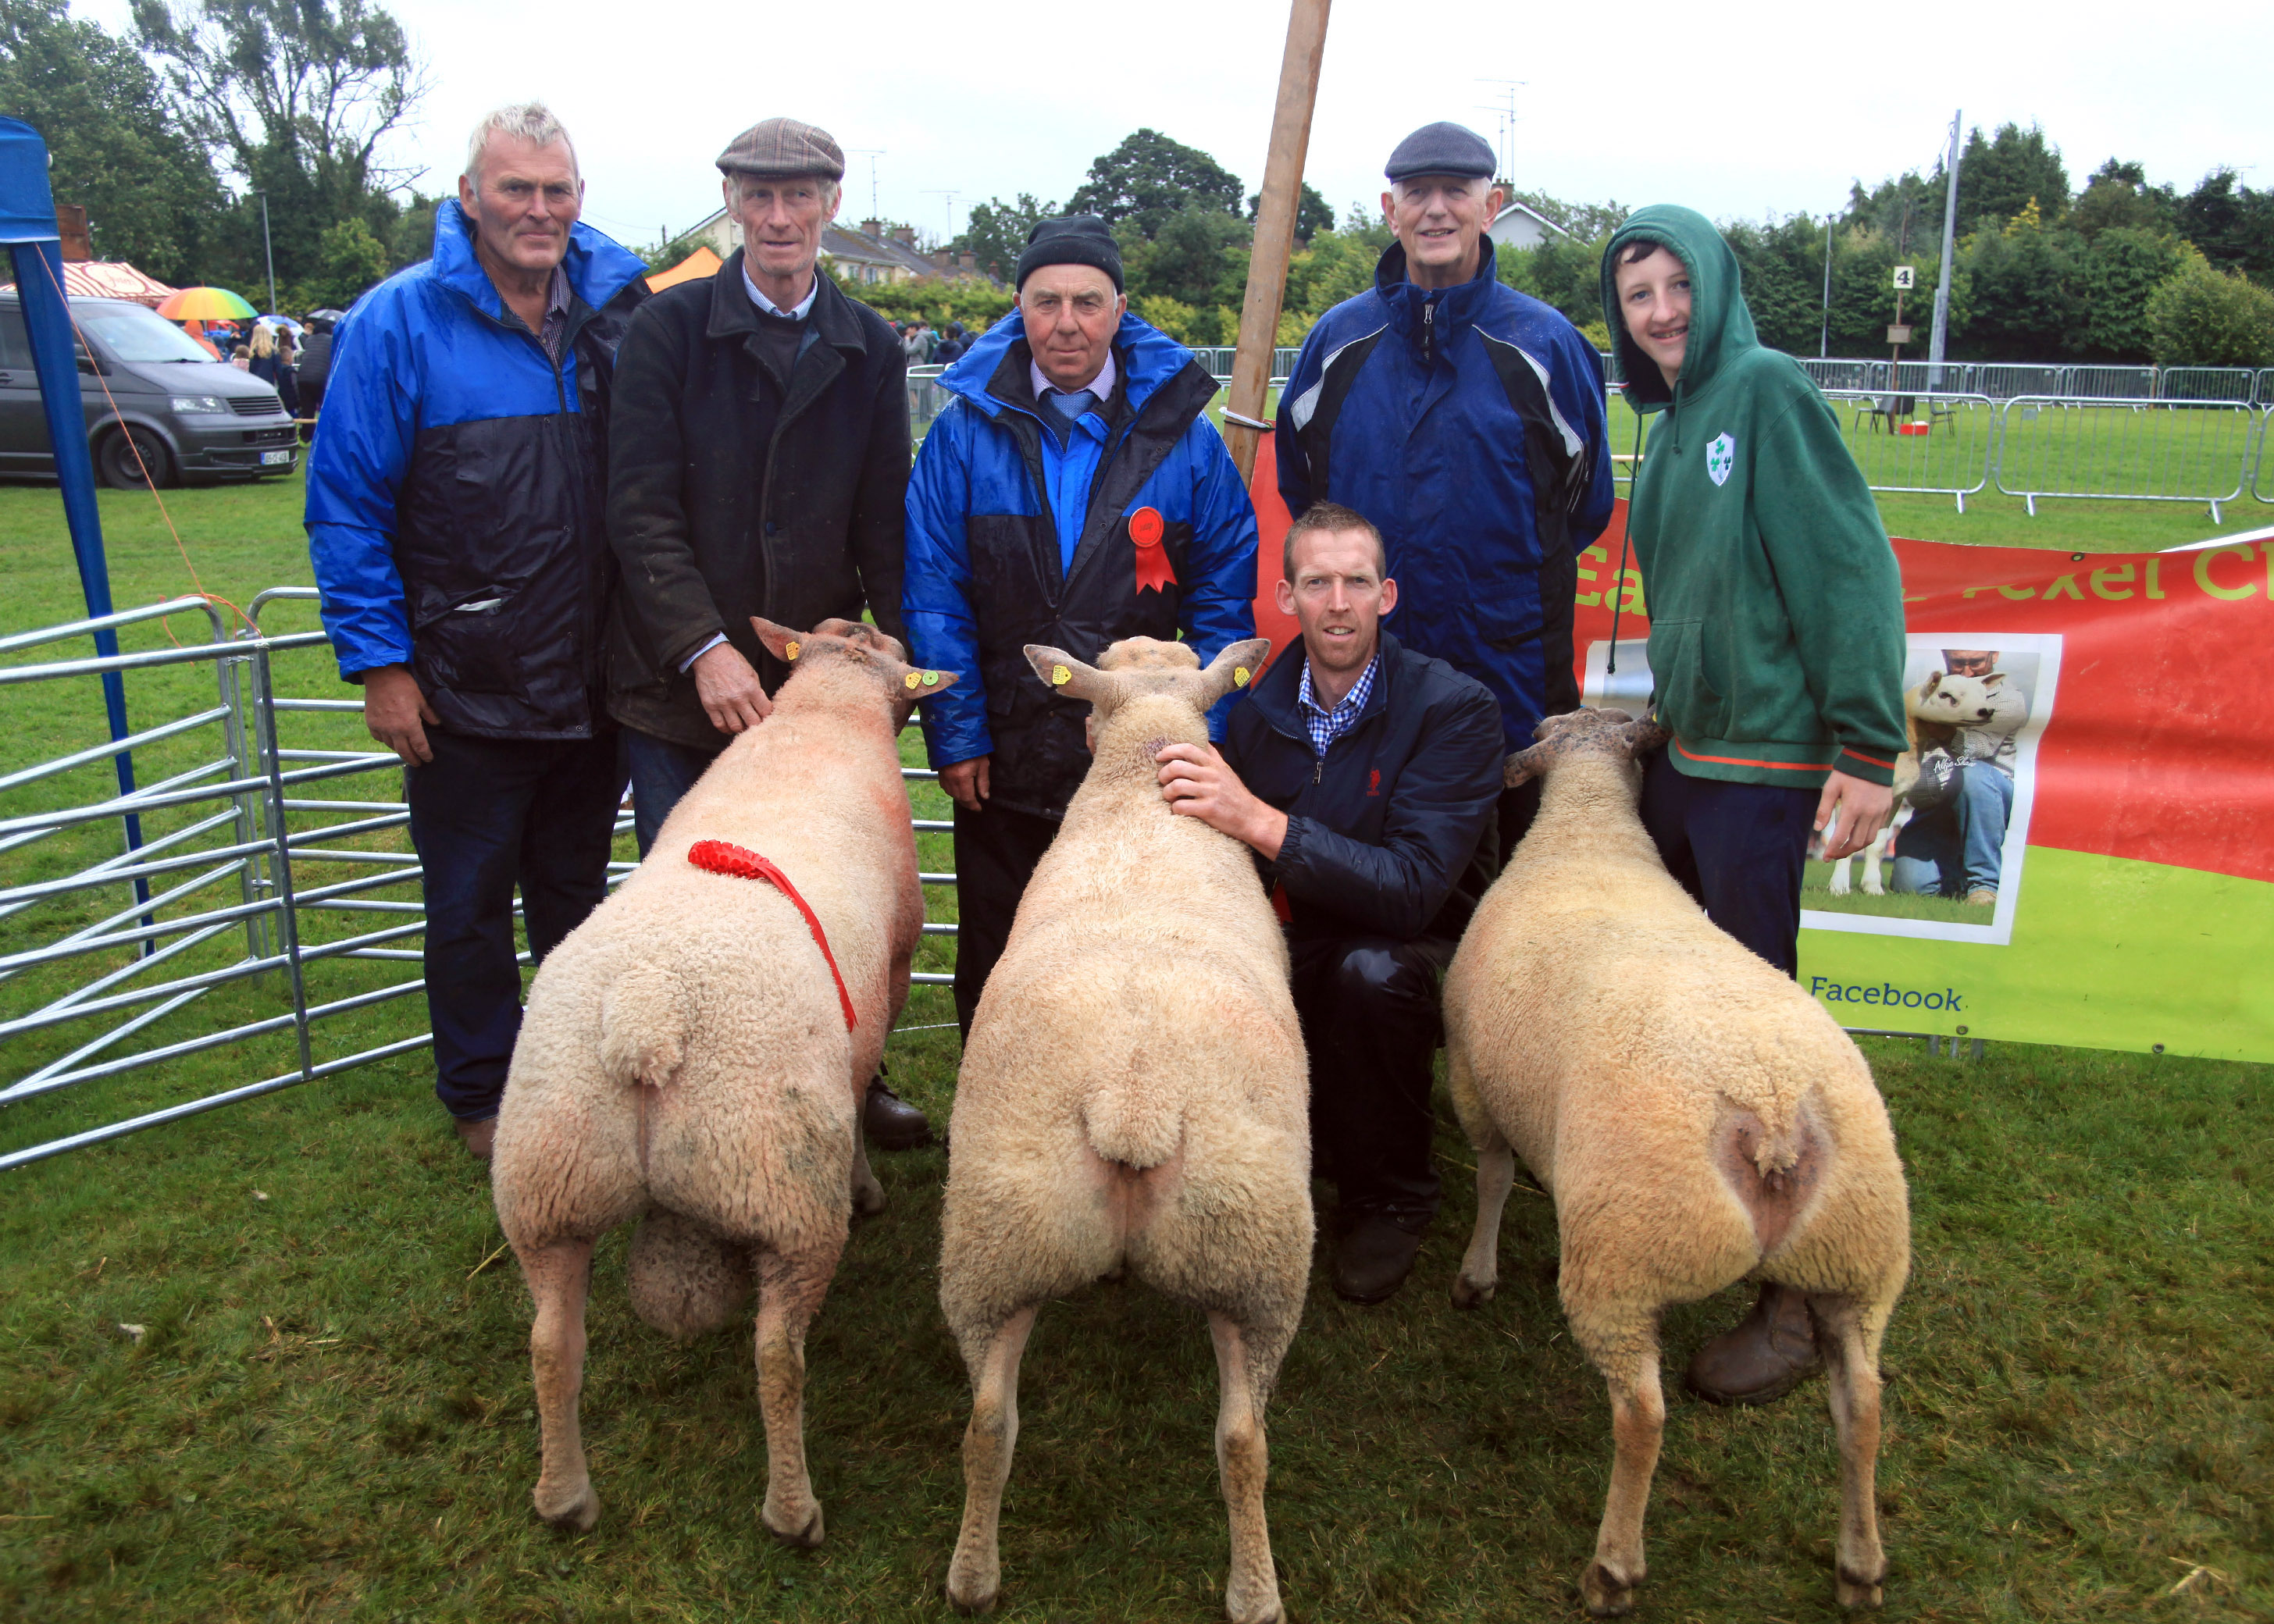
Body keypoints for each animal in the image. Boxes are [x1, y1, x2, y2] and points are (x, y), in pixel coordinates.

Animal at [489, 617, 954, 1543]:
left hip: (545, 1181)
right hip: (782, 1186)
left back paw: (565, 1498)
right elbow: (859, 1094)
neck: (823, 714)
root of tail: (649, 1007)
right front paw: (869, 1185)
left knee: (551, 1345)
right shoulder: (890, 978)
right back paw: (793, 1509)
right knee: (777, 1354)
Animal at [937, 635, 1307, 1624]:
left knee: (988, 1423)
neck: (1142, 785)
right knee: (1243, 1437)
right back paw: (1254, 1592)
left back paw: (973, 1579)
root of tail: (1130, 1099)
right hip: (1251, 1263)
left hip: (1004, 1242)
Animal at [1440, 707, 1911, 1616]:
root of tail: (1770, 1110)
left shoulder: (1473, 1079)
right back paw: (1860, 1565)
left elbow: (1492, 1177)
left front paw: (1476, 1274)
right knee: (1864, 1408)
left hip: (1626, 1254)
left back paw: (1612, 1569)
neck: (1587, 833)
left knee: (1642, 1417)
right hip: (1858, 1258)